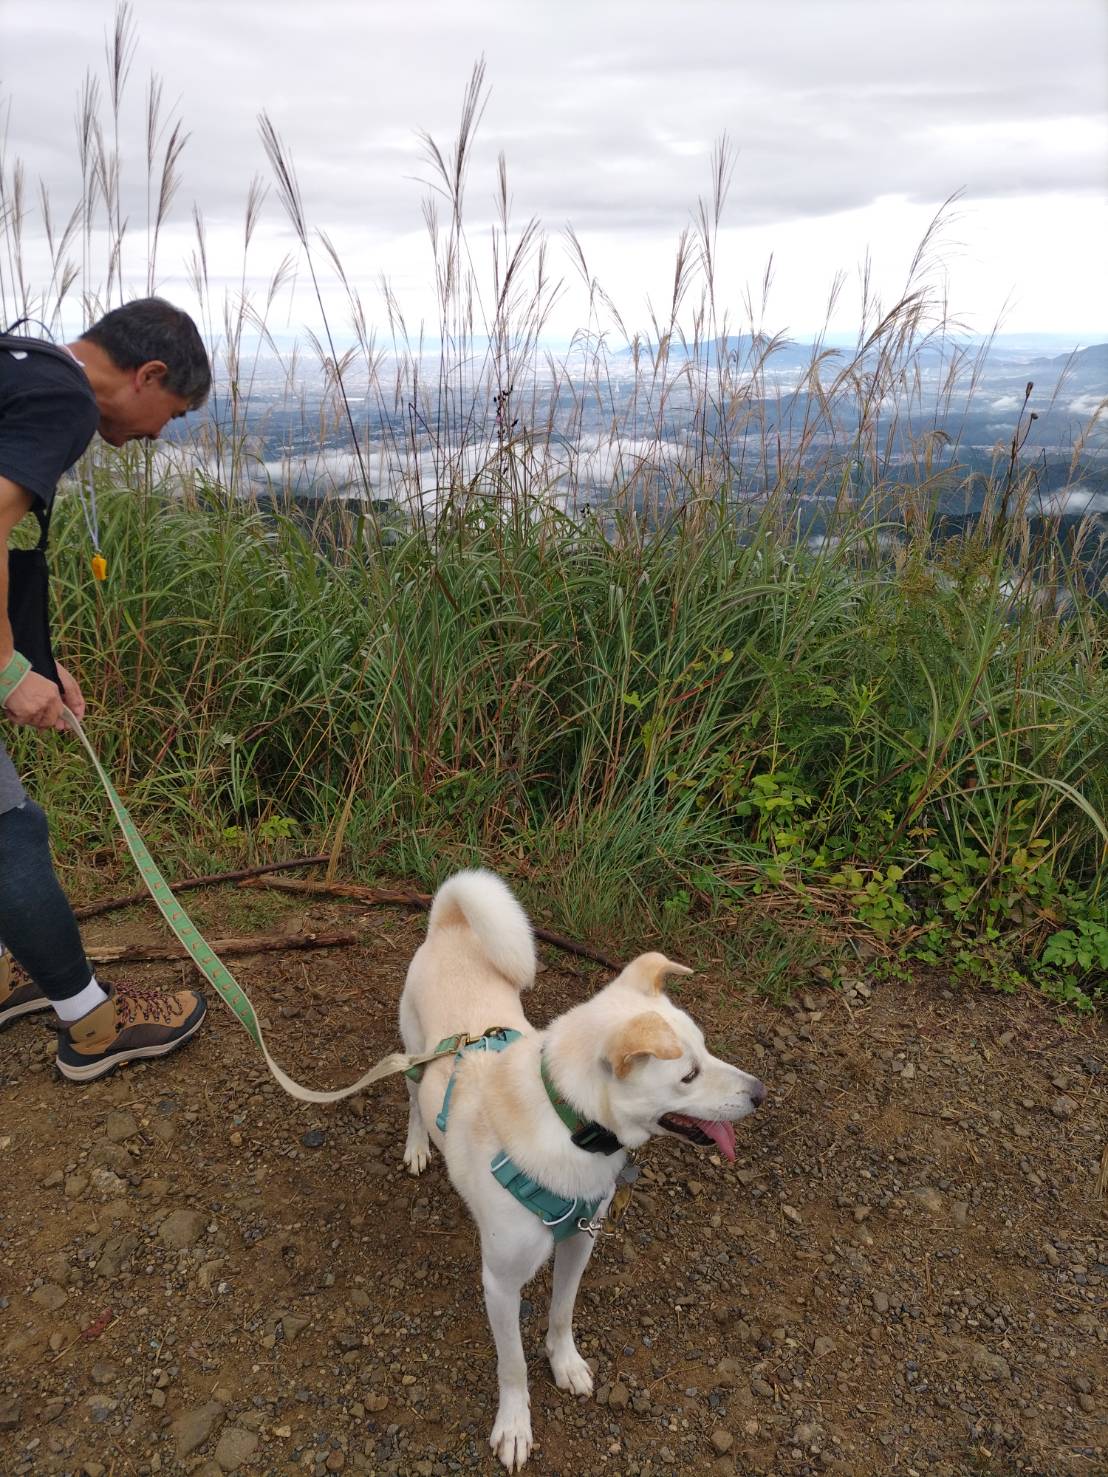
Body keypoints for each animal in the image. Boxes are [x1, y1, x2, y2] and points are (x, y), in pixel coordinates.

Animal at [398, 869, 766, 1470]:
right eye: (688, 1075)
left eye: (708, 1051)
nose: (760, 1093)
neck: (571, 1123)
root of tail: (451, 923)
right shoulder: (500, 1283)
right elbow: (512, 1365)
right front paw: (514, 1425)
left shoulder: (579, 1241)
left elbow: (562, 1313)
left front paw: (565, 1363)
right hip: (410, 1053)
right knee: (410, 1099)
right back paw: (417, 1145)